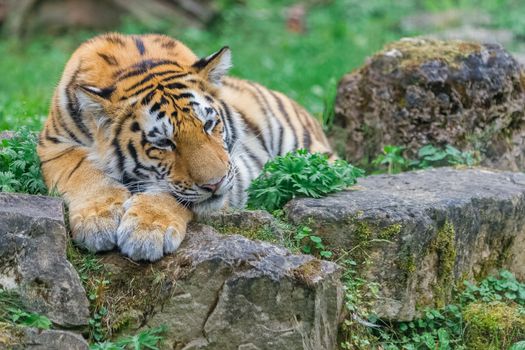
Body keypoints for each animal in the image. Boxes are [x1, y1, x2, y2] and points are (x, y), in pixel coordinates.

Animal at [37, 33, 332, 262]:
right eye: (164, 143)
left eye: (209, 124)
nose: (214, 184)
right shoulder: (53, 145)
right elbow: (83, 172)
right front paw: (98, 221)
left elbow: (171, 193)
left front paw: (146, 231)